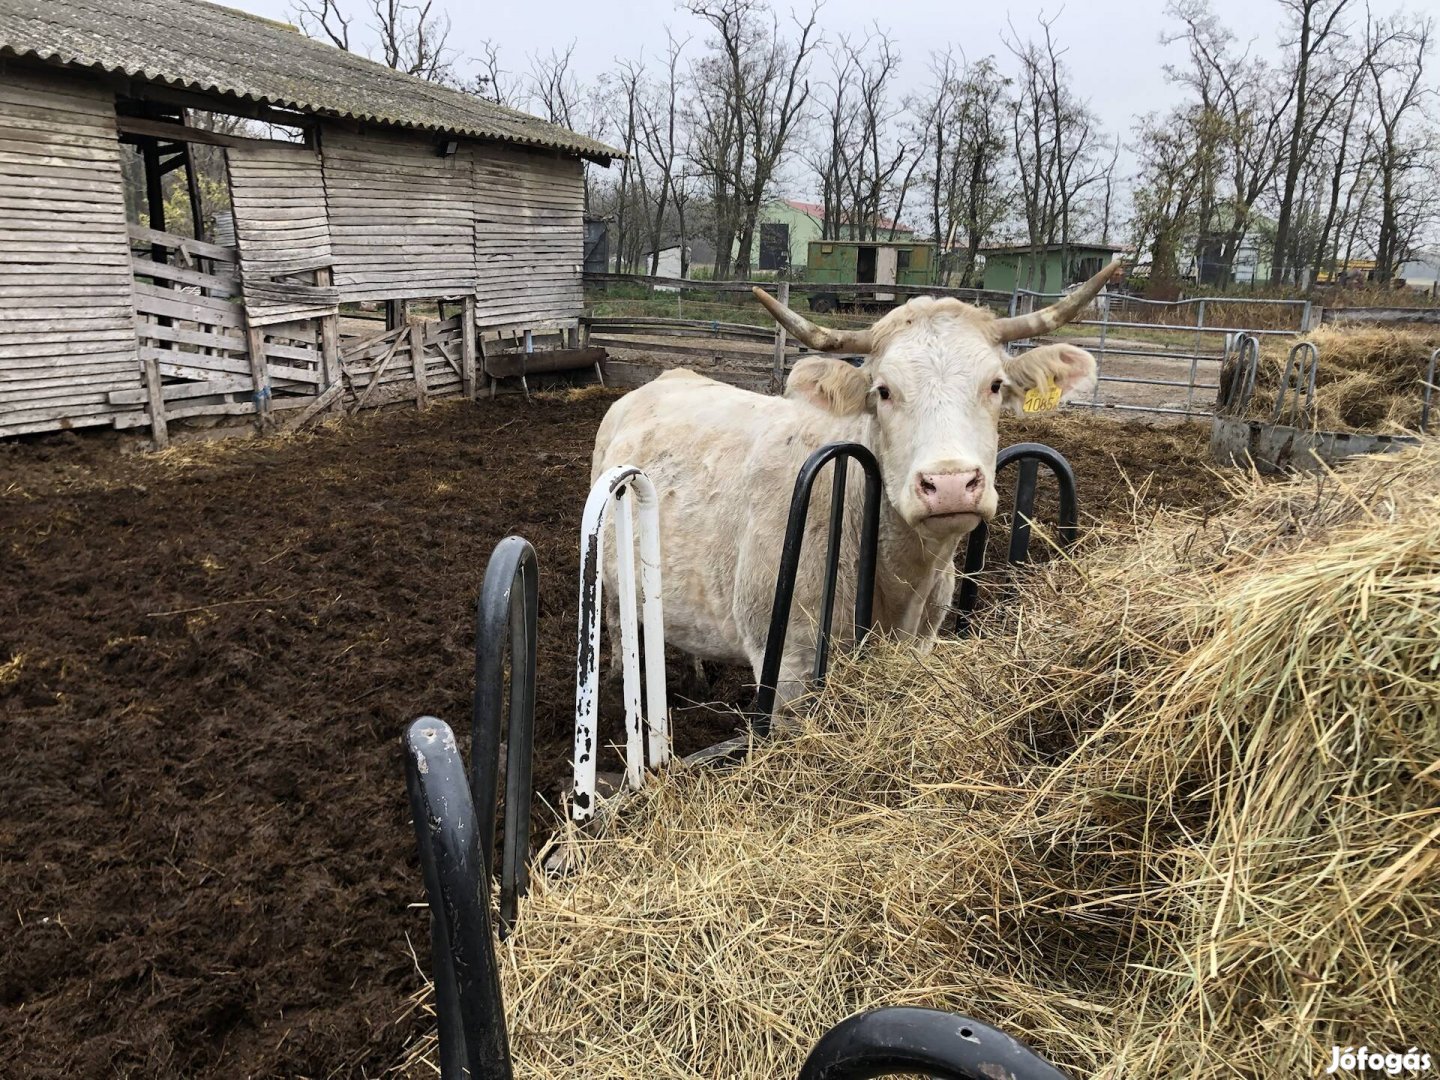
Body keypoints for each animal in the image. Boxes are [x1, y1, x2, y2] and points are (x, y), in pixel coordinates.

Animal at [590, 260, 1117, 702]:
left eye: (994, 385)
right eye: (883, 391)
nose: (949, 484)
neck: (899, 577)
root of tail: (666, 376)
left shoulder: (923, 638)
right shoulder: (787, 665)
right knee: (615, 617)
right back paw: (616, 675)